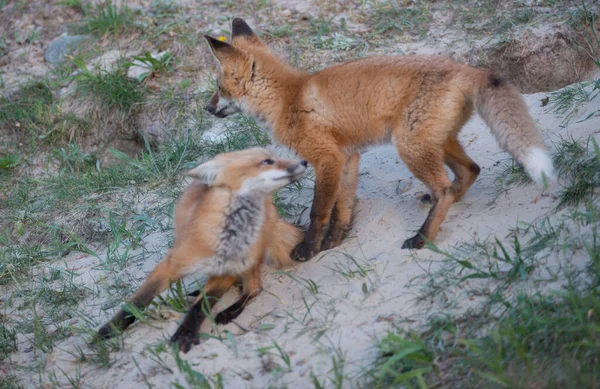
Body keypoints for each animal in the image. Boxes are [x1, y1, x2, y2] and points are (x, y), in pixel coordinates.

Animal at [99, 148, 308, 352]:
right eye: (267, 161)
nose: (304, 161)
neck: (226, 240)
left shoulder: (225, 271)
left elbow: (201, 306)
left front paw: (185, 333)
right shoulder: (172, 264)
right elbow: (137, 301)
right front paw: (109, 330)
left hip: (249, 260)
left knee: (254, 288)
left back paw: (229, 311)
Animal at [204, 19, 556, 260]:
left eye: (219, 88)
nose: (206, 108)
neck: (288, 99)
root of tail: (463, 68)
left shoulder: (327, 159)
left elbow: (319, 211)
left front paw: (309, 248)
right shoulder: (347, 157)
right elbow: (342, 206)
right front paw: (335, 241)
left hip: (410, 146)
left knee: (445, 188)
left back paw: (423, 236)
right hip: (436, 142)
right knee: (470, 171)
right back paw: (441, 205)